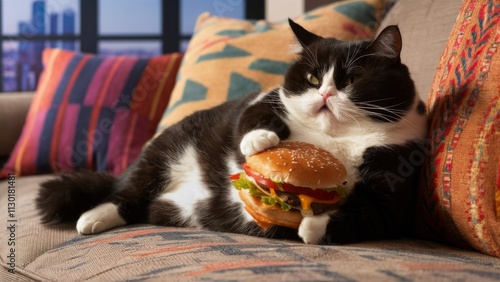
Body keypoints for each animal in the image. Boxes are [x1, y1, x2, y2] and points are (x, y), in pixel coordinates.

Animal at [36, 19, 426, 245]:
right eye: (313, 78)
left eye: (352, 79)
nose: (325, 95)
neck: (334, 138)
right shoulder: (265, 99)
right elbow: (250, 115)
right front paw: (259, 140)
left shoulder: (397, 174)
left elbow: (370, 214)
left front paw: (310, 227)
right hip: (163, 150)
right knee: (127, 191)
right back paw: (92, 218)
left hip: (172, 207)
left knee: (145, 206)